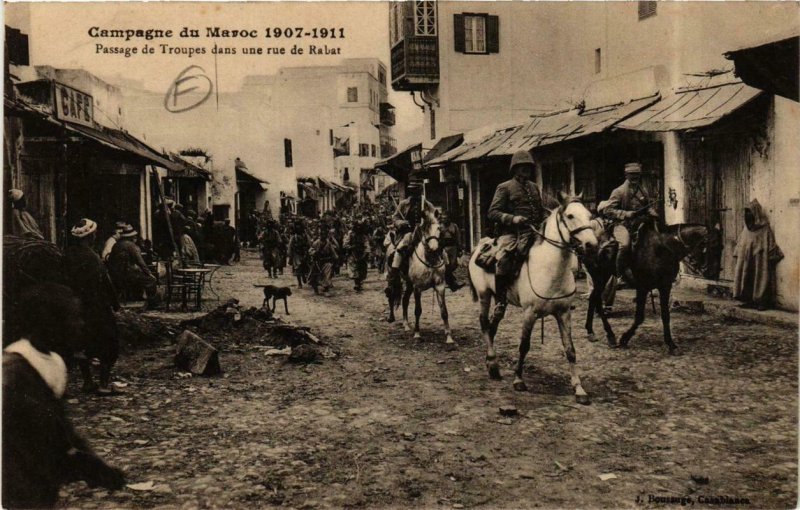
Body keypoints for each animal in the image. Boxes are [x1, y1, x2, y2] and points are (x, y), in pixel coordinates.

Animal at [466, 193, 596, 404]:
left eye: (589, 215)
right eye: (570, 216)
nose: (591, 245)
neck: (550, 268)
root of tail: (480, 245)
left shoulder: (563, 313)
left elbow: (570, 349)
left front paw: (579, 389)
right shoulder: (530, 313)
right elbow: (524, 346)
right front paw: (518, 380)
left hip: (499, 299)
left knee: (493, 324)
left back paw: (489, 361)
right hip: (484, 294)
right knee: (484, 323)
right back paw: (493, 365)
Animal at [588, 218, 720, 354]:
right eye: (713, 245)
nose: (713, 274)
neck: (663, 249)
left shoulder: (665, 286)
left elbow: (665, 316)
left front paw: (671, 344)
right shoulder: (642, 288)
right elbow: (639, 317)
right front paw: (625, 338)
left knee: (593, 299)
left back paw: (591, 332)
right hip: (600, 276)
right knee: (596, 300)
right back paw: (610, 336)